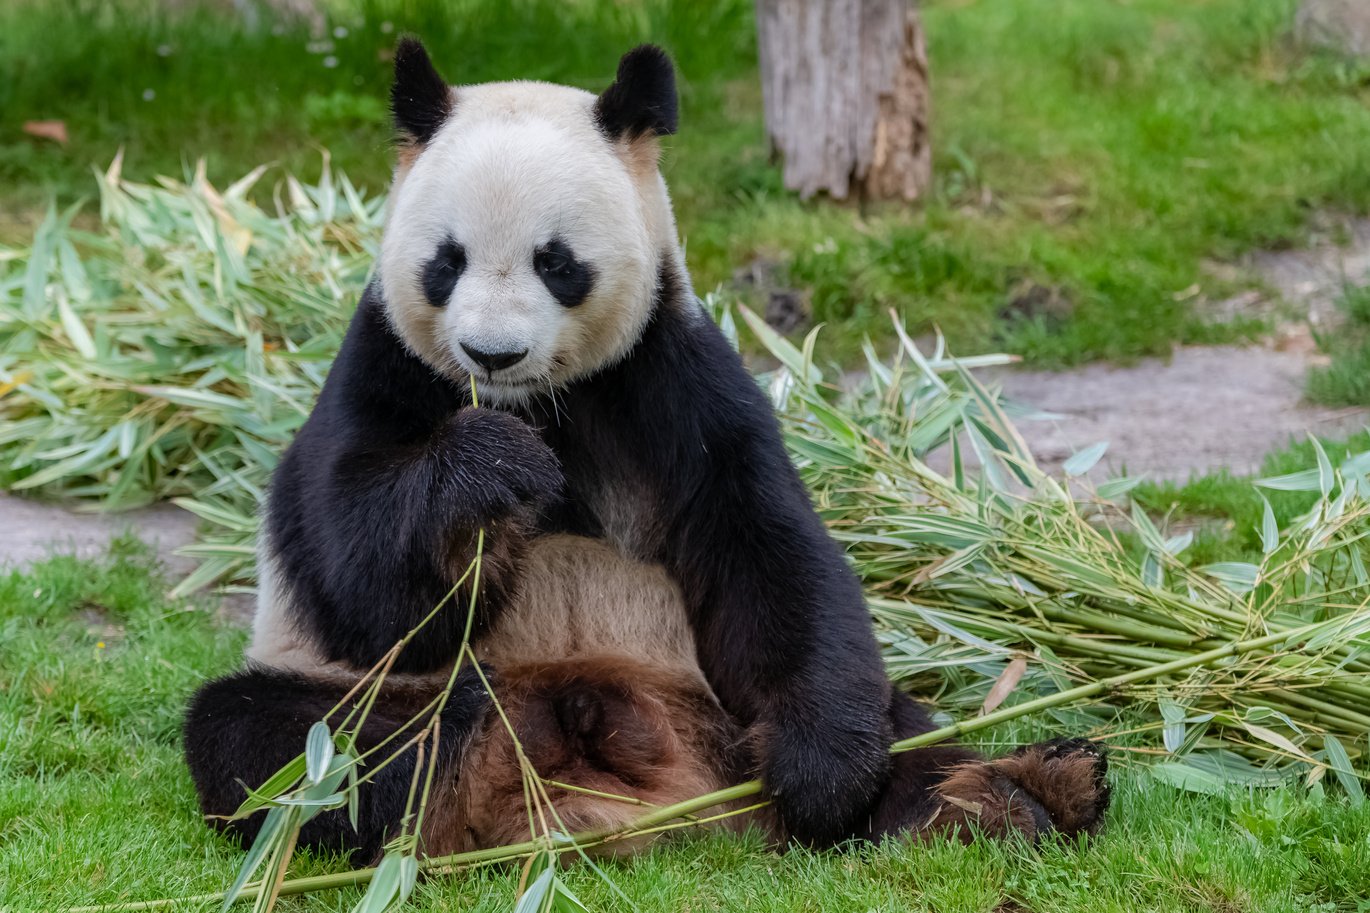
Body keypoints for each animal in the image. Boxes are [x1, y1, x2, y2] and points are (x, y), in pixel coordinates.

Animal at [184, 37, 1112, 860]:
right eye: (446, 261)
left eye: (556, 261)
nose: (491, 353)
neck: (542, 401)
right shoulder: (385, 371)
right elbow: (362, 586)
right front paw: (493, 472)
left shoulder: (668, 378)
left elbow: (768, 552)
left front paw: (821, 777)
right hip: (331, 705)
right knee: (296, 744)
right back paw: (491, 755)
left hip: (723, 698)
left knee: (905, 727)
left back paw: (1011, 796)